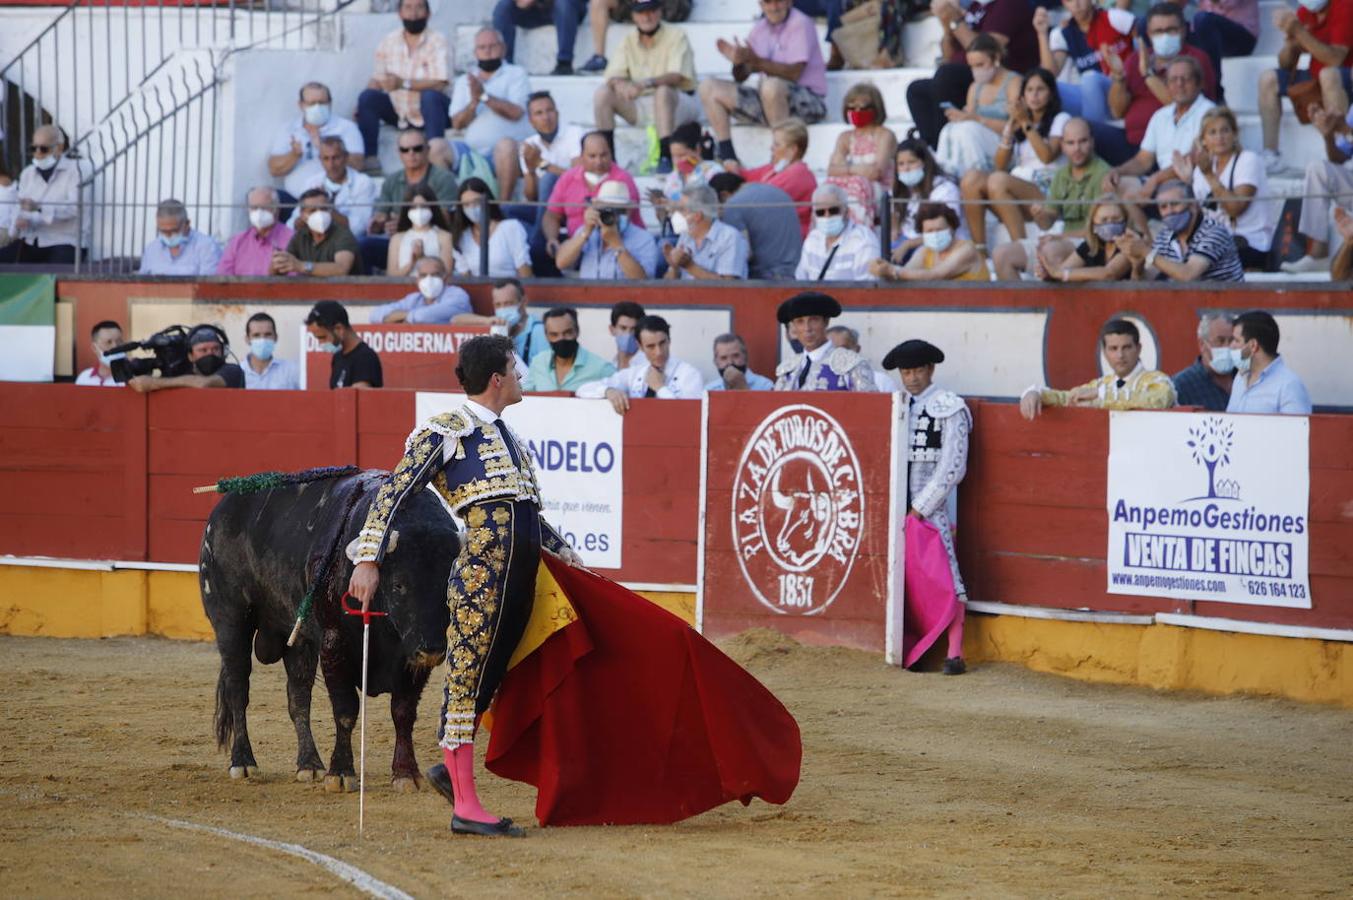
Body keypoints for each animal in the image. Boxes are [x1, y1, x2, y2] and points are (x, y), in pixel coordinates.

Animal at [197, 473, 457, 790]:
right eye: (399, 584)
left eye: (448, 584)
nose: (431, 649)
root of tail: (222, 509)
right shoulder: (335, 644)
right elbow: (345, 710)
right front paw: (341, 773)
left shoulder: (409, 658)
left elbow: (403, 712)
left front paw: (406, 774)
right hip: (231, 622)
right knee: (238, 689)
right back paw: (243, 762)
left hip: (297, 638)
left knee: (298, 697)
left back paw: (309, 764)